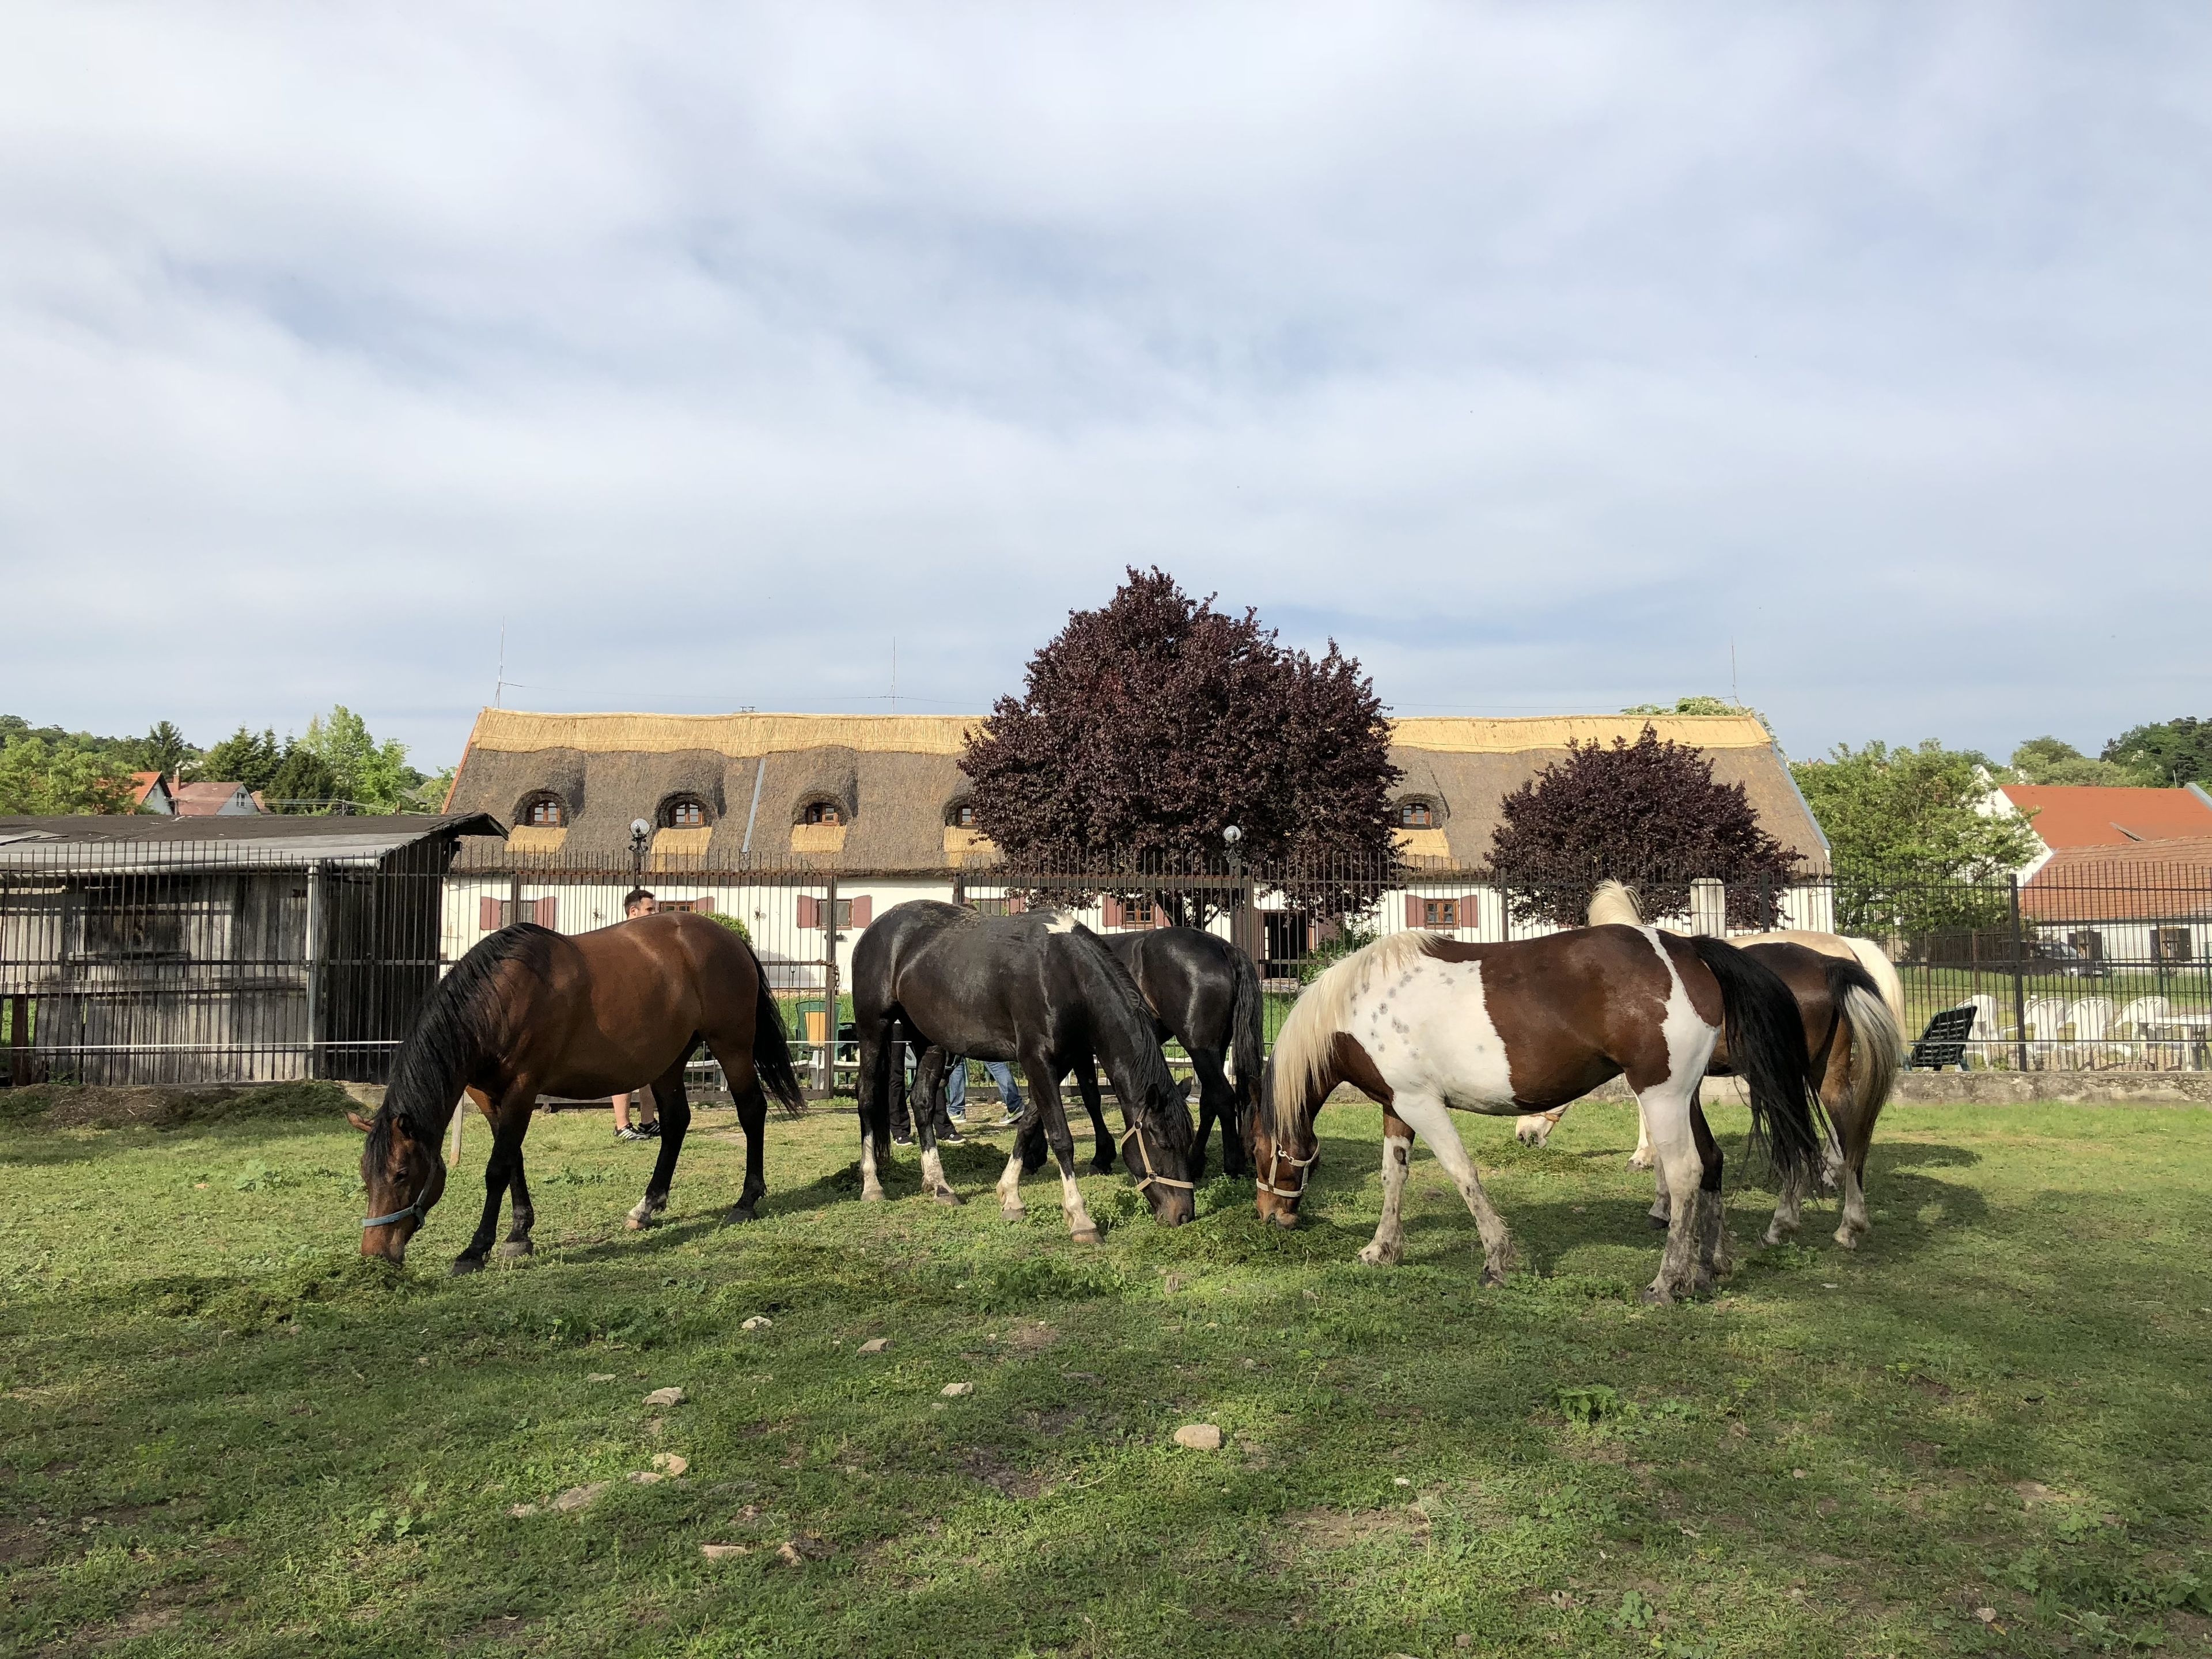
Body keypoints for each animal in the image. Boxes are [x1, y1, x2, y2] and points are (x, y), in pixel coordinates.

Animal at [354, 914, 804, 1273]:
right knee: (677, 1122)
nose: (375, 1253)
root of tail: (731, 940)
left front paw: (476, 1249)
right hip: (669, 1061)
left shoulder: (523, 1088)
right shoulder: (487, 1096)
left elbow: (497, 1167)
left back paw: (746, 1201)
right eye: (365, 1175)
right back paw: (648, 1206)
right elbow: (513, 1159)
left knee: (751, 1111)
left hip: (732, 1046)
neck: (499, 999)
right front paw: (519, 1234)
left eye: (401, 1174)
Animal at [851, 901, 1198, 1239]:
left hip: (930, 1040)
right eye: (1163, 1143)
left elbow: (1029, 1123)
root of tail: (878, 926)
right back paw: (872, 1185)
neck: (1063, 973)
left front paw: (1011, 1197)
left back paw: (939, 1186)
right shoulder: (1037, 1059)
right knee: (867, 1096)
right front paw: (1080, 1218)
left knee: (922, 1101)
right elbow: (1060, 1136)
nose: (1184, 1215)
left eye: (1187, 1142)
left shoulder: (1061, 1062)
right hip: (874, 1028)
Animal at [1035, 926, 1263, 1181]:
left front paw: (1101, 1157)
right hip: (1214, 1050)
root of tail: (1224, 948)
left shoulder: (1076, 1052)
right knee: (1209, 1101)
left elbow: (1087, 1097)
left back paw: (1233, 1165)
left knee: (1223, 1098)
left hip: (1200, 1049)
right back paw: (1195, 1163)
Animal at [1248, 923, 1825, 1303]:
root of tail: (1688, 951)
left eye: (1258, 1152)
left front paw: (1497, 1261)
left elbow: (1463, 1174)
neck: (1358, 1007)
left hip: (1661, 1095)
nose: (1271, 1217)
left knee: (1684, 1173)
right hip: (1685, 1097)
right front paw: (1381, 1250)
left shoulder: (1421, 1104)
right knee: (1712, 1162)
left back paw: (1667, 1282)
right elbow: (1395, 1177)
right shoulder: (1398, 1107)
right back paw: (1709, 1266)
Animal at [1510, 882, 1901, 1247]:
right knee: (1848, 1131)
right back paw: (1847, 1222)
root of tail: (1832, 962)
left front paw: (1659, 1199)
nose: (1523, 1136)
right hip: (1825, 1071)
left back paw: (1790, 1217)